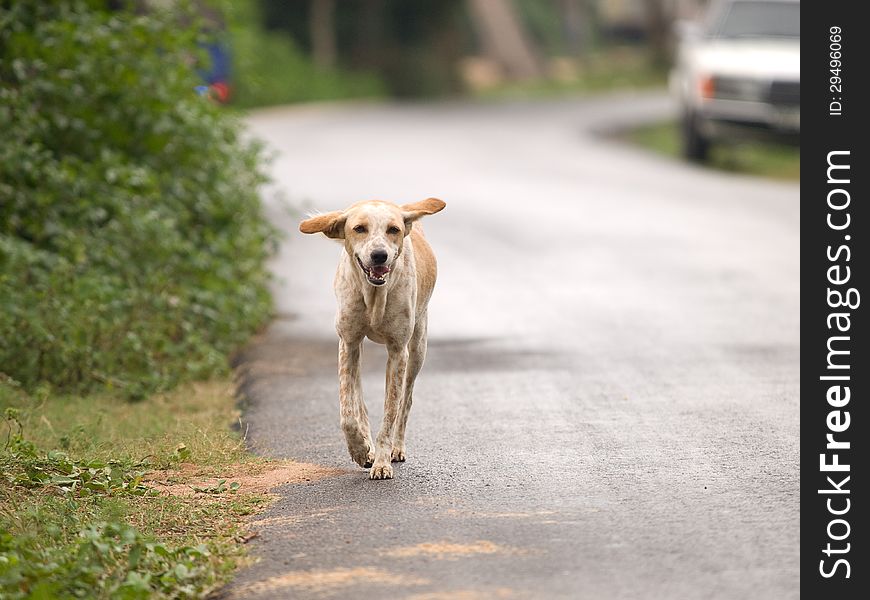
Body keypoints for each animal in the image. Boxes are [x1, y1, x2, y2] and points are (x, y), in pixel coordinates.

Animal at [302, 199, 450, 480]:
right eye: (359, 228)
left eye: (393, 229)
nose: (379, 255)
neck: (374, 294)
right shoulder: (348, 343)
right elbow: (348, 413)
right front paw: (361, 451)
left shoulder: (398, 351)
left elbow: (391, 411)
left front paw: (382, 461)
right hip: (357, 348)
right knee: (359, 401)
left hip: (418, 349)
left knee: (406, 400)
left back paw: (397, 447)